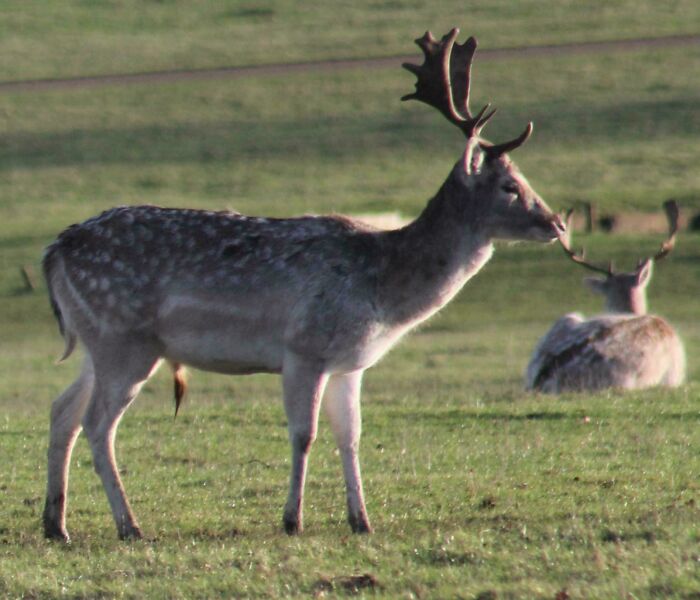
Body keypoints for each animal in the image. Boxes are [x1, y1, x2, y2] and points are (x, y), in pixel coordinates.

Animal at [43, 28, 568, 540]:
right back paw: (129, 525)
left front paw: (361, 520)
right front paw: (292, 520)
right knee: (97, 424)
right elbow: (304, 434)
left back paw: (57, 525)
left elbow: (350, 437)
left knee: (62, 410)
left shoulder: (350, 364)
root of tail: (54, 251)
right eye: (509, 186)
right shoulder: (304, 349)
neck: (383, 291)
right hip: (124, 339)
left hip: (100, 343)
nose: (558, 223)